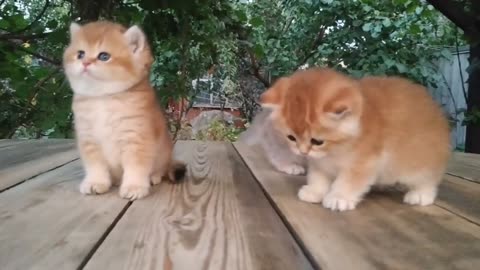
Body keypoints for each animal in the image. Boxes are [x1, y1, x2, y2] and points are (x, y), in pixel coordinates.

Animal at [62, 21, 186, 200]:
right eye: (80, 54)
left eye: (104, 56)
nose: (85, 63)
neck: (103, 98)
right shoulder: (89, 140)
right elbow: (95, 167)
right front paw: (96, 182)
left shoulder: (136, 139)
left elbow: (136, 167)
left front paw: (134, 186)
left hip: (164, 155)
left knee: (161, 169)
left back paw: (154, 177)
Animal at [258, 67, 450, 211]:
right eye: (291, 137)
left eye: (317, 141)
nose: (303, 152)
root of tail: (435, 108)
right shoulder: (320, 163)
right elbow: (318, 177)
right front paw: (314, 191)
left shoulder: (363, 163)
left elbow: (348, 182)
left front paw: (338, 197)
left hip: (420, 162)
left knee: (428, 179)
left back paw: (421, 195)